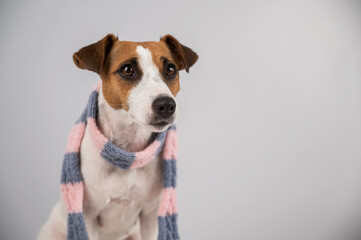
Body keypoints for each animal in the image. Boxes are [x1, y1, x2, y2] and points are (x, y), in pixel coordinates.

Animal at [37, 34, 197, 240]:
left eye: (171, 69)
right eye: (127, 69)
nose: (166, 105)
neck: (128, 151)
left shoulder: (151, 216)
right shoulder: (88, 217)